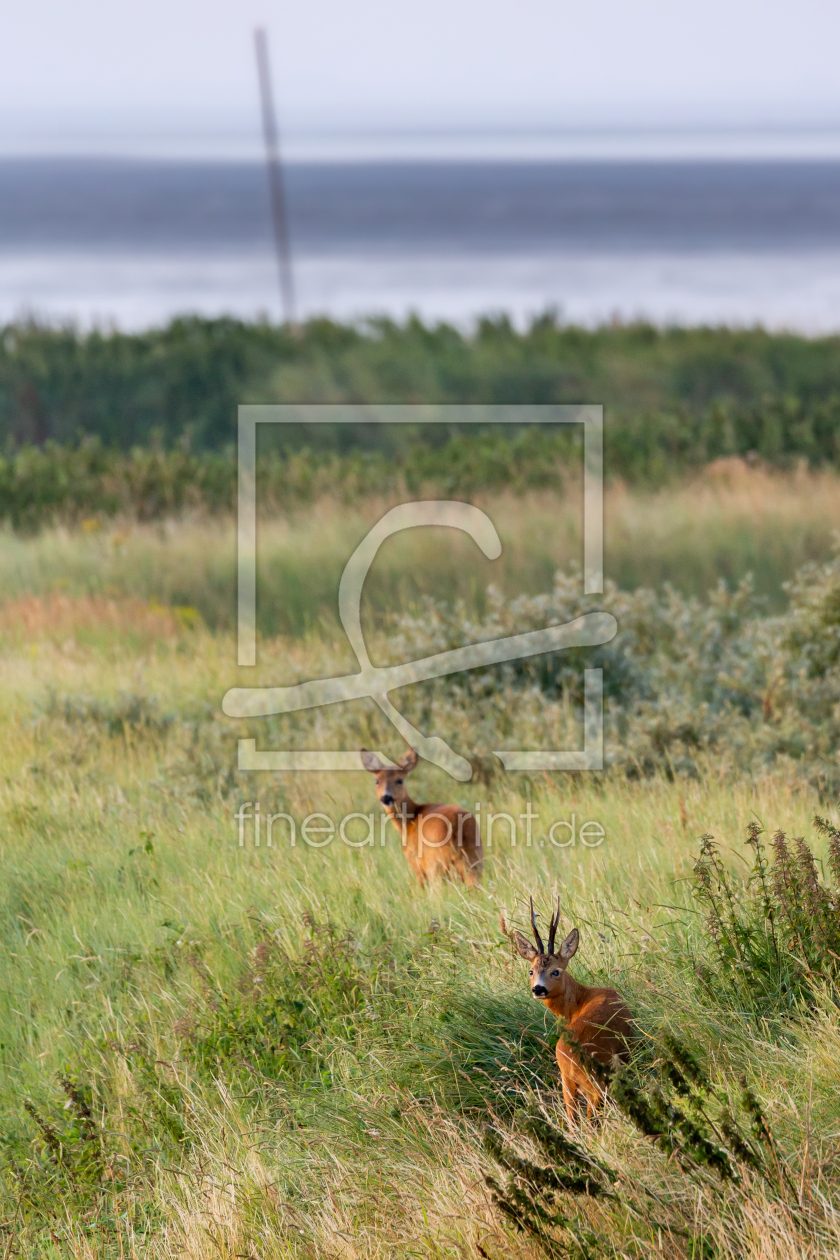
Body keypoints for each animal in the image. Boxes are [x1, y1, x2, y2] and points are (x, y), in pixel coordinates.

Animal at [360, 745, 483, 887]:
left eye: (399, 780)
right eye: (377, 780)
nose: (386, 798)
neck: (409, 821)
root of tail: (457, 826)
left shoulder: (414, 861)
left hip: (436, 863)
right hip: (475, 857)